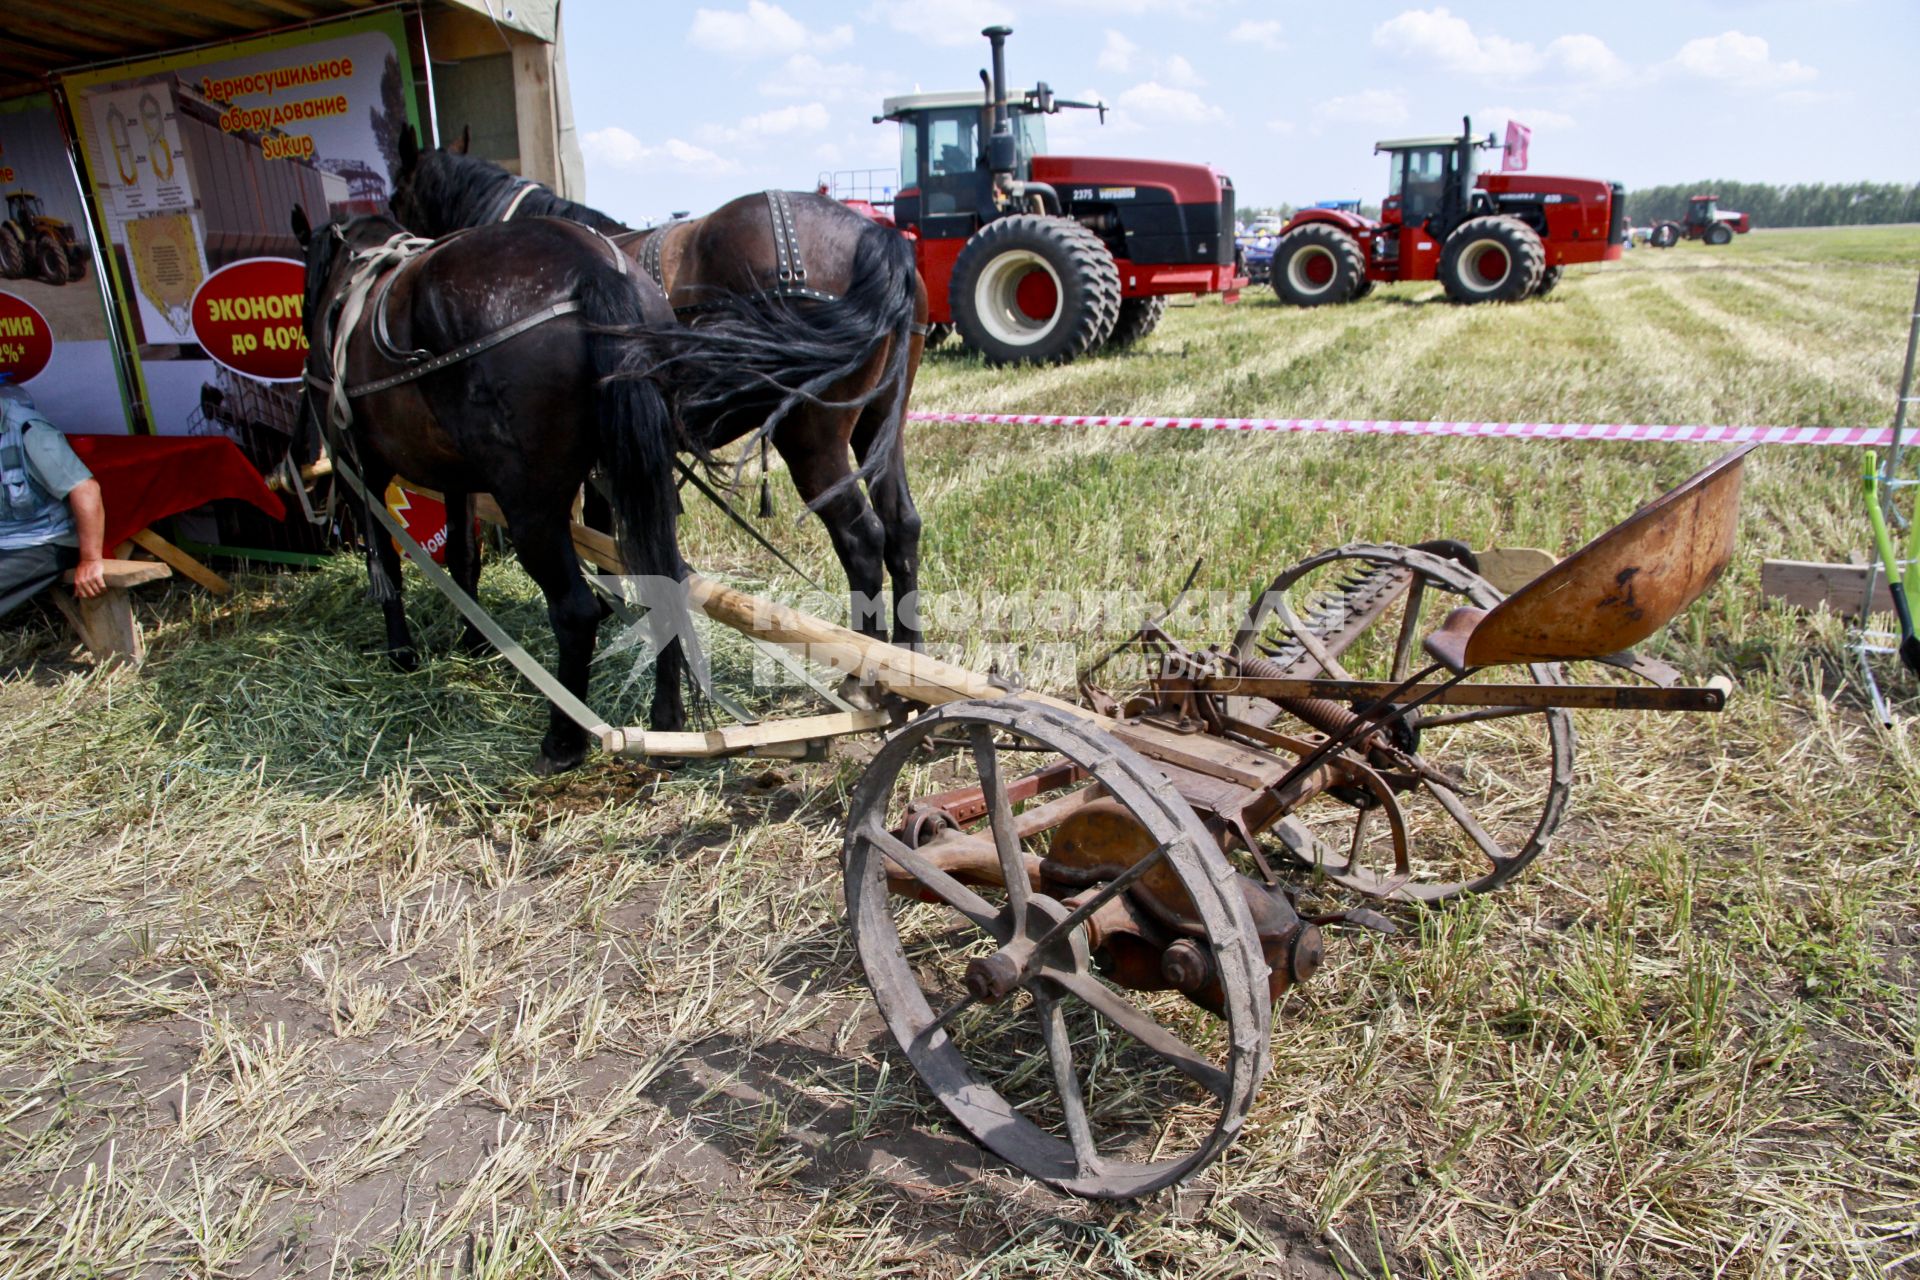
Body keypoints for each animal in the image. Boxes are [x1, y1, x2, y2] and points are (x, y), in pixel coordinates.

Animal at [291, 209, 698, 771]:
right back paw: (668, 726)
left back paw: (563, 742)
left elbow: (387, 566)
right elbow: (464, 557)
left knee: (575, 610)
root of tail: (592, 266)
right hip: (637, 477)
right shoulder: (458, 480)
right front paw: (474, 639)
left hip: (532, 505)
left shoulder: (361, 472)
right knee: (664, 582)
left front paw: (400, 652)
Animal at [385, 128, 925, 644]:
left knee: (861, 539)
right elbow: (604, 523)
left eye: (396, 196)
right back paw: (906, 648)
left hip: (812, 437)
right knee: (901, 524)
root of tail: (874, 236)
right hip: (881, 420)